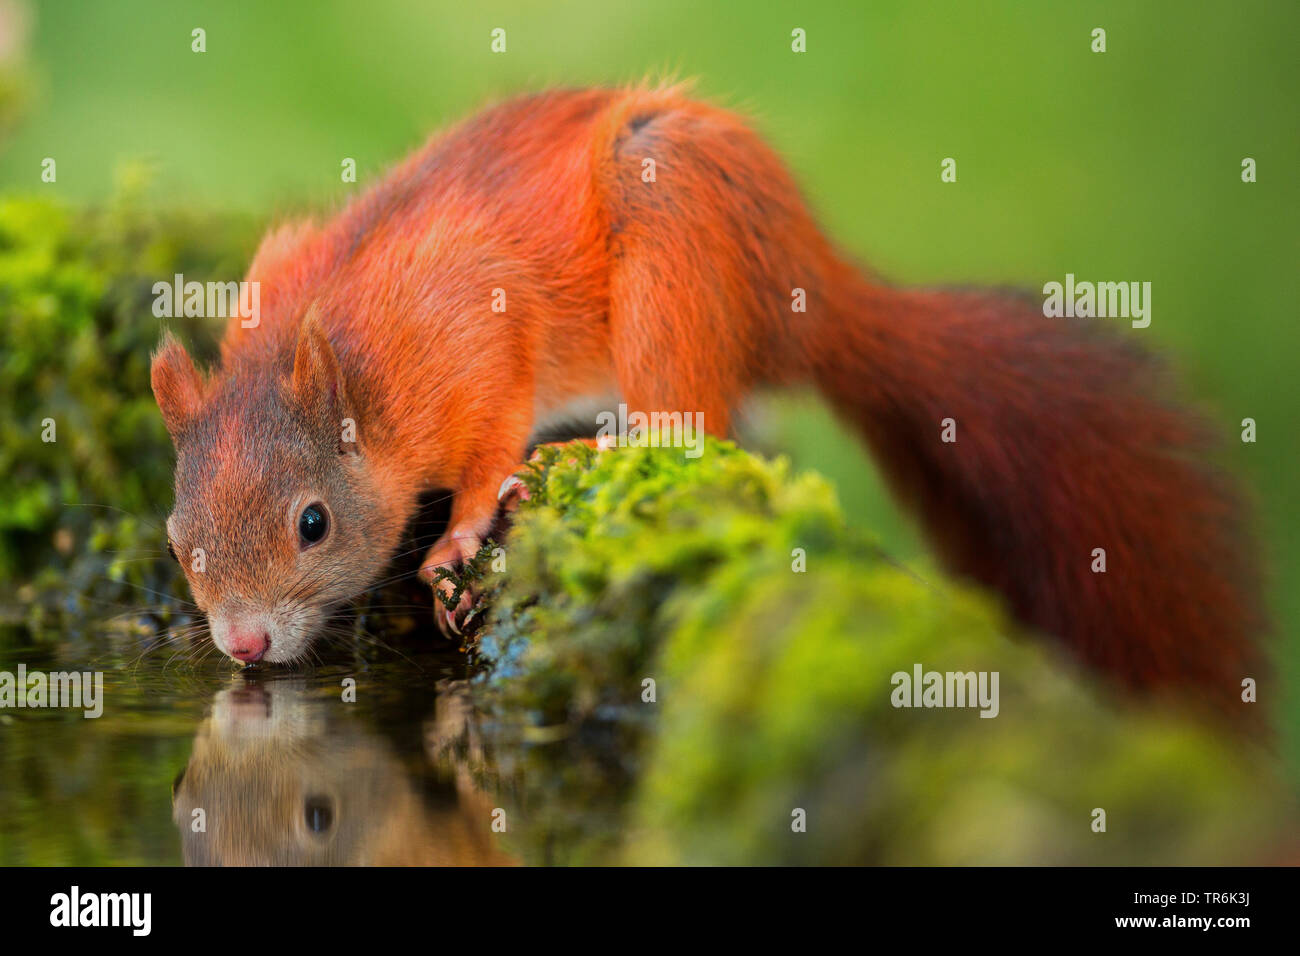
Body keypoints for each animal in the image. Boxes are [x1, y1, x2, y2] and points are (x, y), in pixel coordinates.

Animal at [149, 83, 1258, 712]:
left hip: (670, 243)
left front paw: (458, 538)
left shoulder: (478, 341)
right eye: (175, 538)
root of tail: (805, 289)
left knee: (693, 422)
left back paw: (595, 447)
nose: (242, 644)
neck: (352, 355)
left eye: (313, 523)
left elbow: (490, 438)